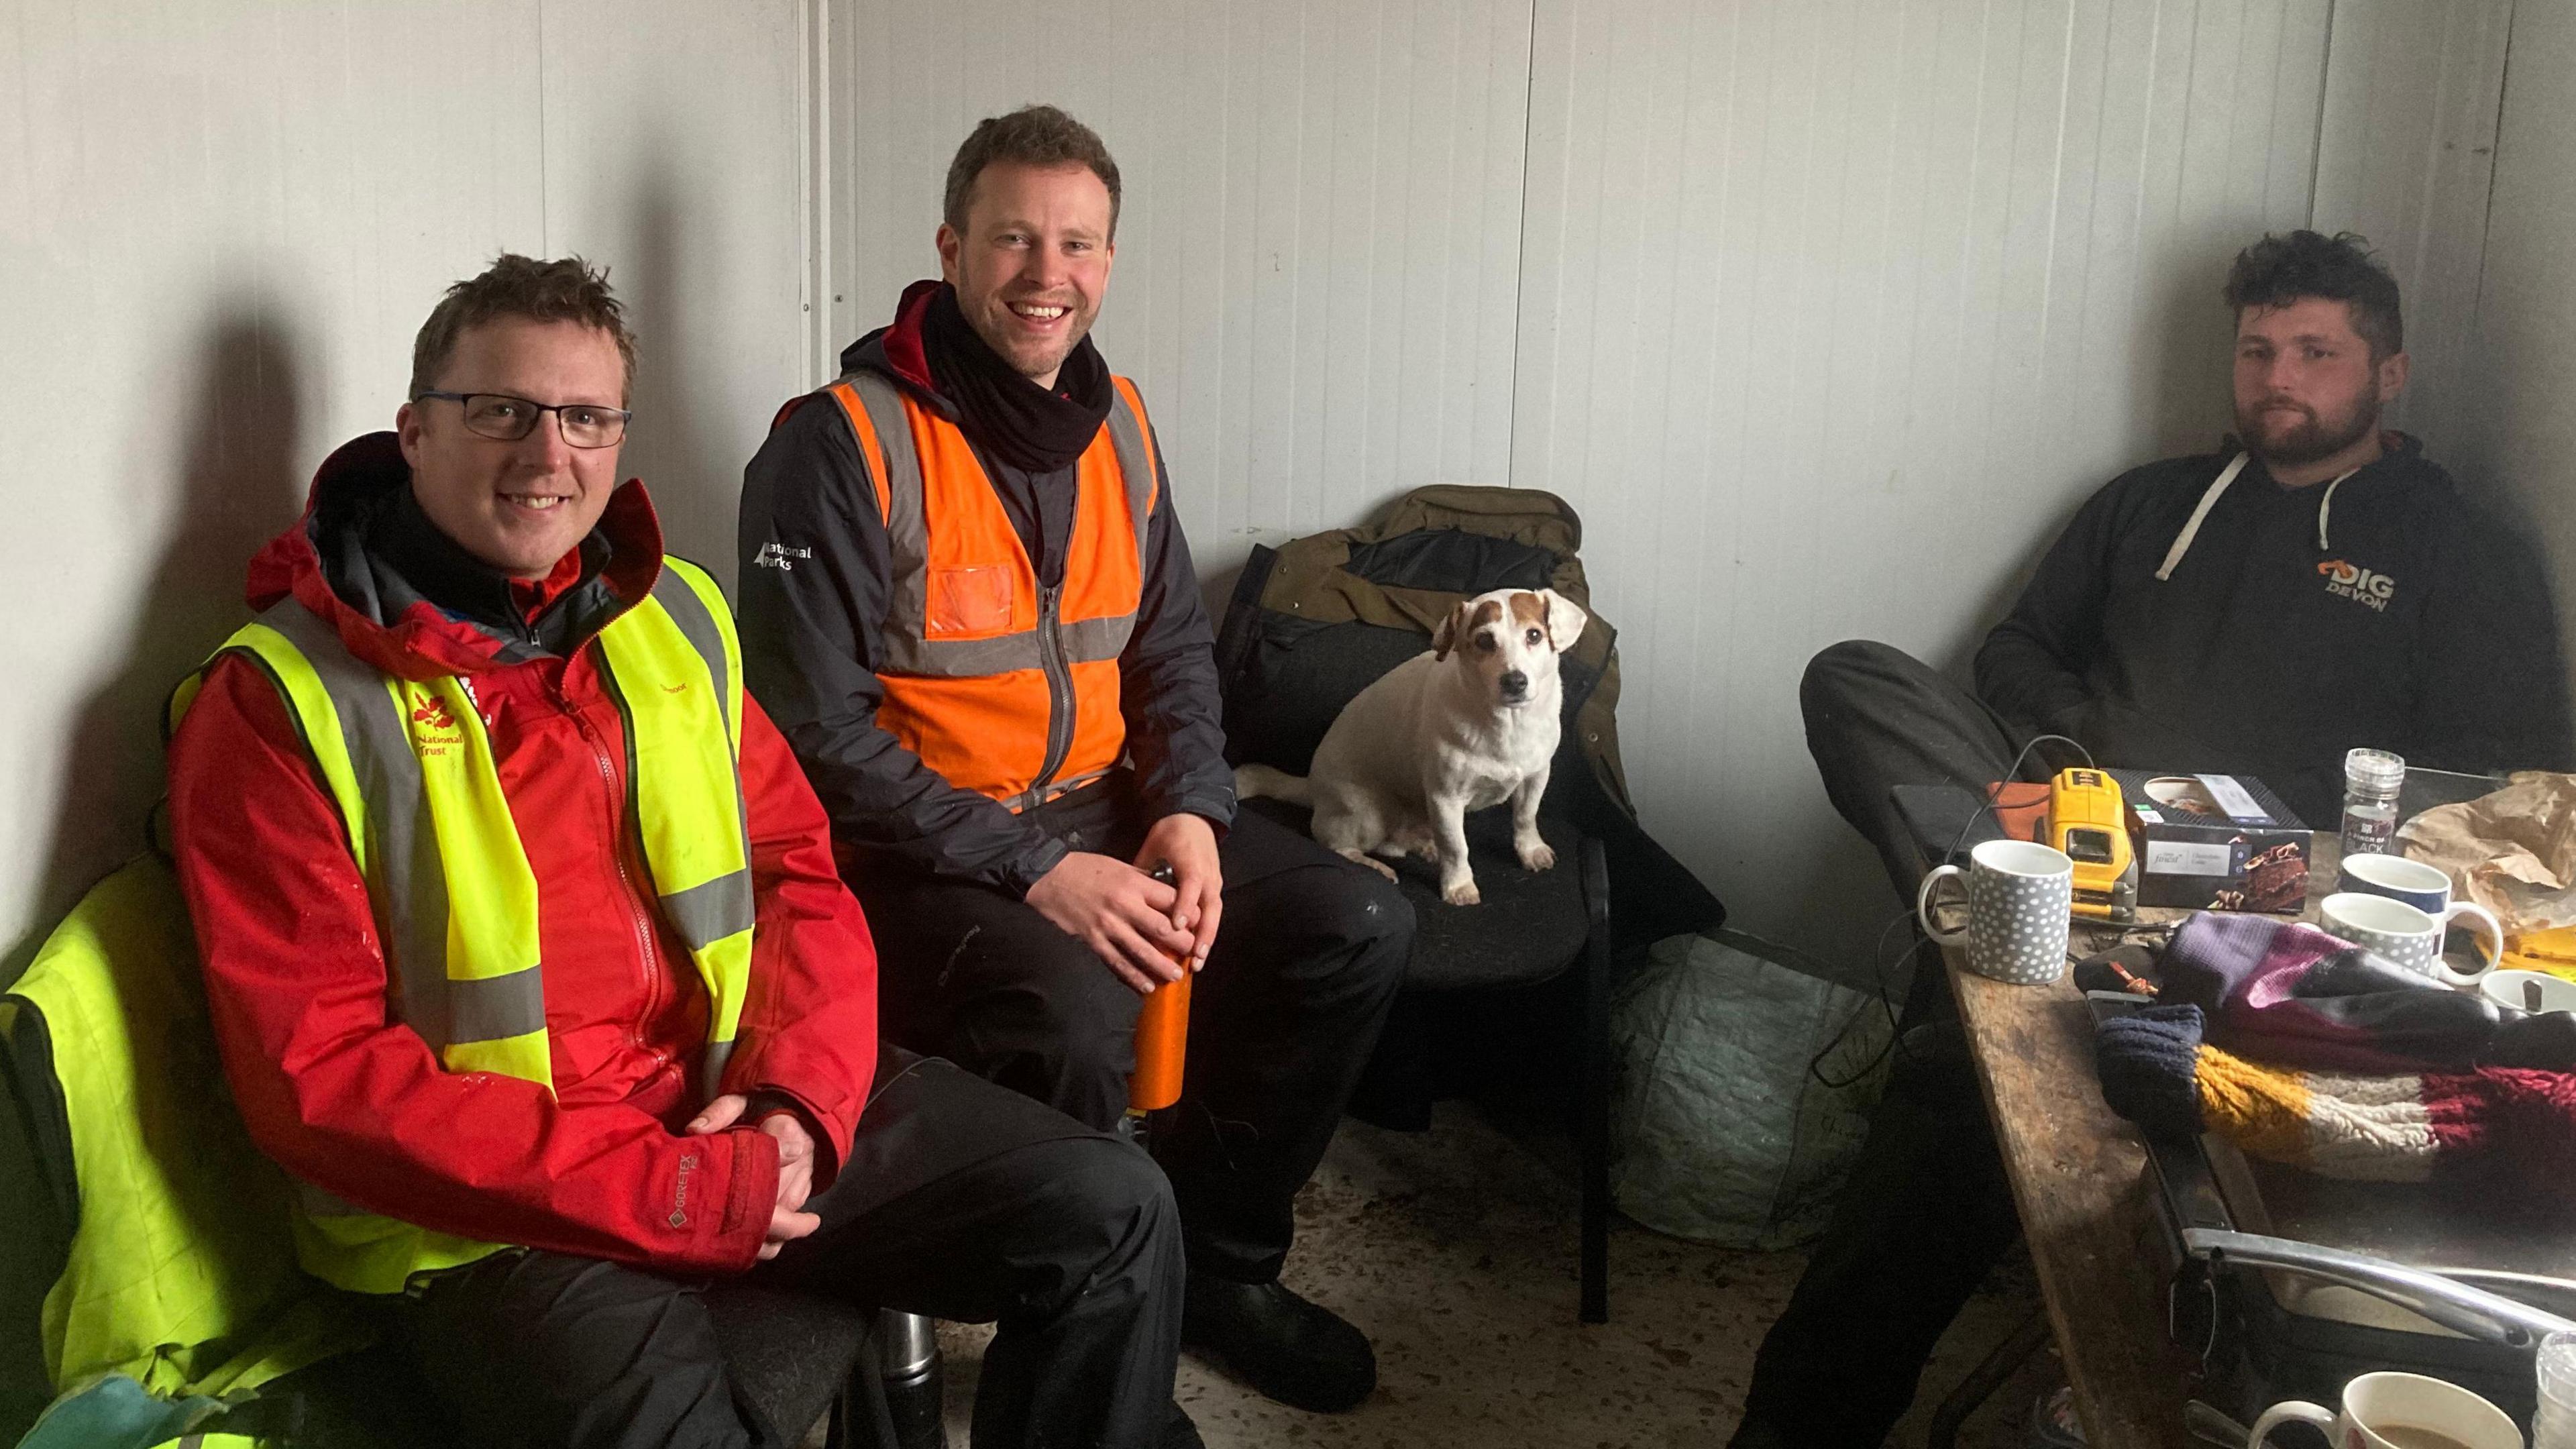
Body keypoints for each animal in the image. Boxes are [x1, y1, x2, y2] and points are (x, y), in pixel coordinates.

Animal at [1236, 580, 1576, 897]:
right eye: (1484, 640)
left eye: (1534, 635)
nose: (1515, 682)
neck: (1508, 725)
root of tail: (1312, 786)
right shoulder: (1445, 798)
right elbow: (1456, 847)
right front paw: (1458, 886)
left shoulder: (1536, 776)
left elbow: (1526, 816)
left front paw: (1531, 851)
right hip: (1368, 814)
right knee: (1339, 845)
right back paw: (1376, 866)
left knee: (1396, 843)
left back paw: (1423, 846)